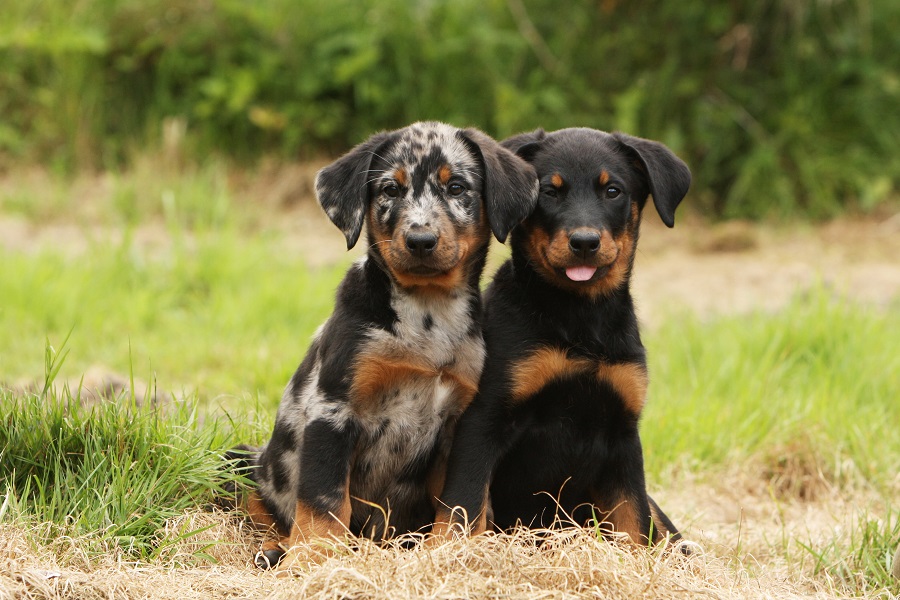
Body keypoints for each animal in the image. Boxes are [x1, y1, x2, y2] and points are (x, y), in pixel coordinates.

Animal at [236, 120, 536, 568]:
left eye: (457, 187)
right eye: (390, 190)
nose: (421, 240)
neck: (426, 317)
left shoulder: (461, 421)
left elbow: (463, 501)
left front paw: (455, 548)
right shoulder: (333, 408)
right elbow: (324, 501)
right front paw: (313, 560)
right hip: (240, 461)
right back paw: (277, 549)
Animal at [434, 129, 688, 548]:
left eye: (613, 191)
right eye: (549, 193)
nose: (584, 242)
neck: (579, 317)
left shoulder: (623, 436)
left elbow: (634, 520)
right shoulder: (484, 419)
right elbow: (464, 504)